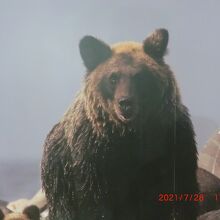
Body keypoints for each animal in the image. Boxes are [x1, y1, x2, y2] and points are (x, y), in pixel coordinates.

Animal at [41, 28, 199, 219]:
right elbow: (94, 200)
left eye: (139, 77)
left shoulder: (172, 140)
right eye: (113, 78)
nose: (125, 102)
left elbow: (179, 189)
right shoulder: (92, 154)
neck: (128, 133)